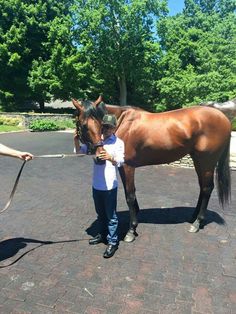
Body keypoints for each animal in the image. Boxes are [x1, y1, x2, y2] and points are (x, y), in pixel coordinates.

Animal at [72, 97, 230, 242]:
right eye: (84, 125)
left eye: (100, 124)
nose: (100, 156)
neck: (122, 123)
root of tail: (224, 118)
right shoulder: (123, 167)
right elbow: (130, 193)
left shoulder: (128, 167)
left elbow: (130, 195)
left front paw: (131, 230)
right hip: (198, 160)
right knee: (202, 187)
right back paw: (193, 218)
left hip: (207, 161)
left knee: (207, 188)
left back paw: (197, 223)